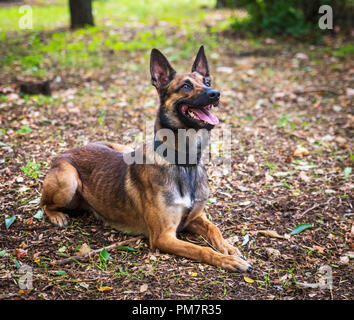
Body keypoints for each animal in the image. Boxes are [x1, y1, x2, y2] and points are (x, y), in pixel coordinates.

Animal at [40, 47, 253, 272]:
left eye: (207, 82)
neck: (184, 163)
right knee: (44, 203)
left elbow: (214, 229)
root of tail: (66, 152)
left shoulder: (194, 217)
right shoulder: (163, 236)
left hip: (121, 148)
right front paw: (229, 261)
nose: (215, 94)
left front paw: (229, 248)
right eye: (186, 86)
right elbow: (202, 250)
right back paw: (57, 216)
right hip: (68, 179)